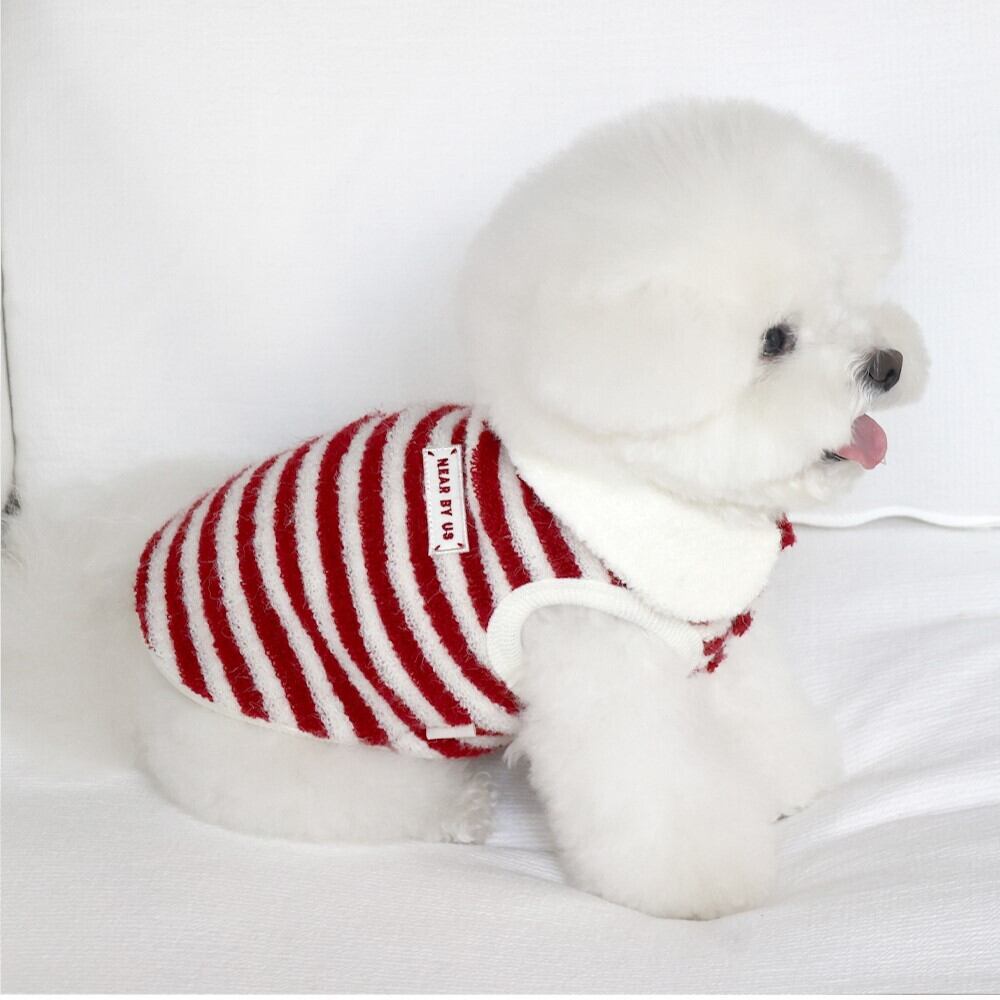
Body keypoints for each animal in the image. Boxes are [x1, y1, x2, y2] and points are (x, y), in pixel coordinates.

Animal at [135, 99, 928, 919]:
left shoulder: (716, 640)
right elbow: (654, 798)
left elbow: (760, 711)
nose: (890, 363)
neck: (641, 496)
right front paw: (703, 881)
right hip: (284, 748)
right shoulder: (599, 670)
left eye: (846, 295)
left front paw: (786, 778)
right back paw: (455, 807)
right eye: (776, 340)